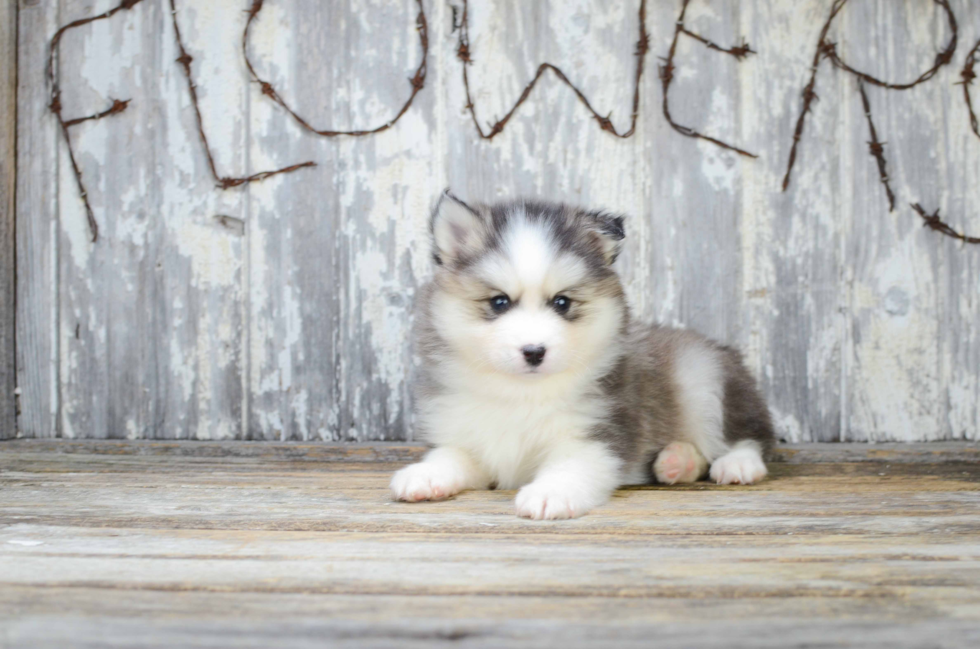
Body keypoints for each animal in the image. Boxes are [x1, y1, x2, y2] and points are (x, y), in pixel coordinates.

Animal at [390, 191, 772, 516]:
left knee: (751, 435)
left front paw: (549, 493)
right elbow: (450, 456)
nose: (534, 351)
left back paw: (737, 464)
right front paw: (424, 475)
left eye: (562, 302)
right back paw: (676, 461)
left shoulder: (596, 437)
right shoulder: (470, 438)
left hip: (704, 377)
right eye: (499, 302)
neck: (520, 395)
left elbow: (571, 468)